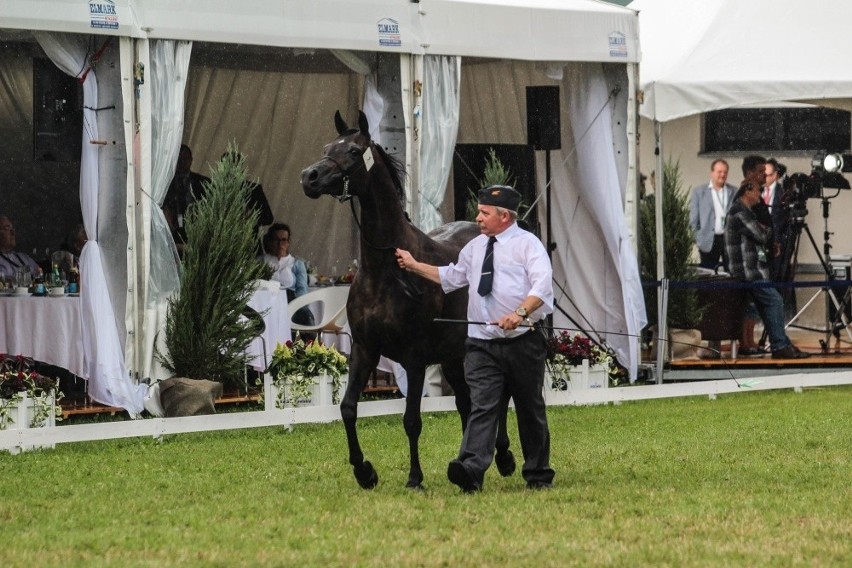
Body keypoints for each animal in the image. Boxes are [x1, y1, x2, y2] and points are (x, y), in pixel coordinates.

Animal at [300, 111, 512, 488]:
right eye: (327, 147)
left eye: (353, 151)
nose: (309, 178)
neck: (387, 271)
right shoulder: (365, 350)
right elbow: (347, 408)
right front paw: (364, 471)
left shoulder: (414, 359)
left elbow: (411, 420)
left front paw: (414, 477)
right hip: (453, 357)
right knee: (467, 404)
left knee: (496, 398)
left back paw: (502, 458)